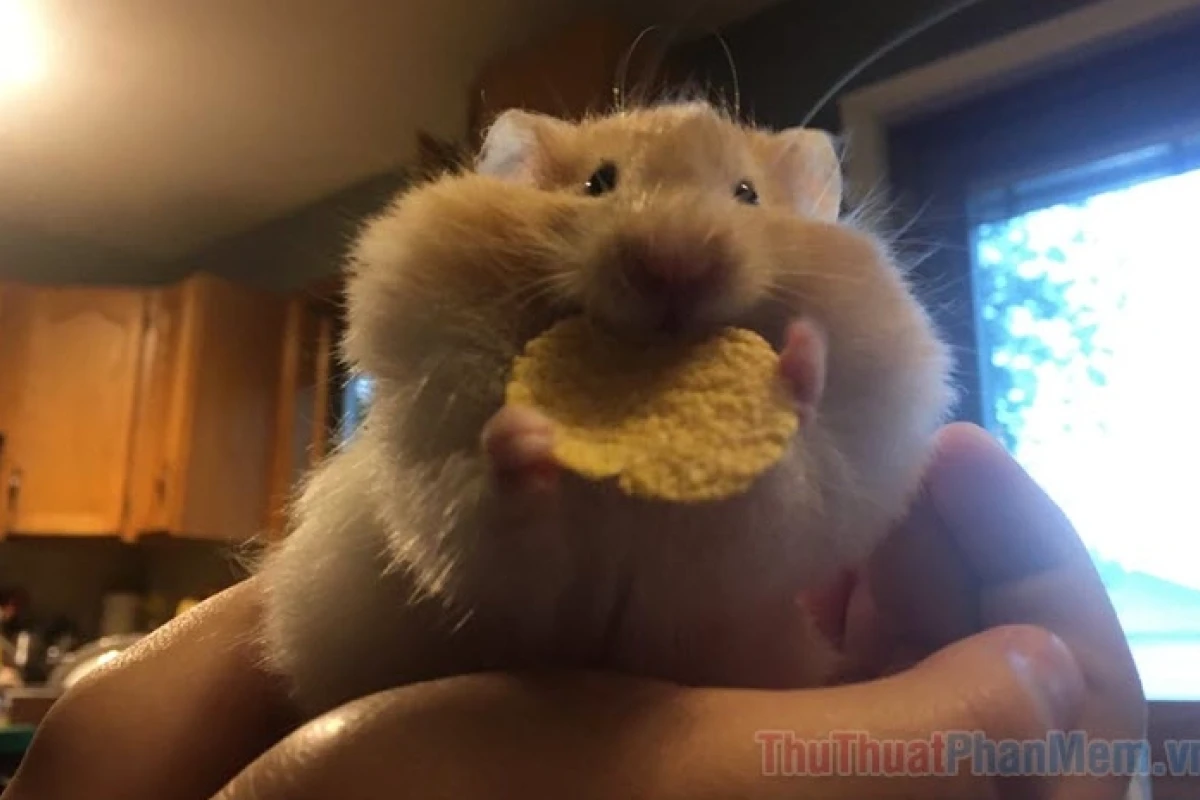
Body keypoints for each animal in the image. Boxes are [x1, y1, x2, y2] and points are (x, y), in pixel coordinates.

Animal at [256, 100, 956, 718]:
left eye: (747, 194)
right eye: (598, 182)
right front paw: (523, 433)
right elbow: (494, 523)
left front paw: (801, 359)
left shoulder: (733, 563)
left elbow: (774, 491)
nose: (674, 265)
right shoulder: (459, 515)